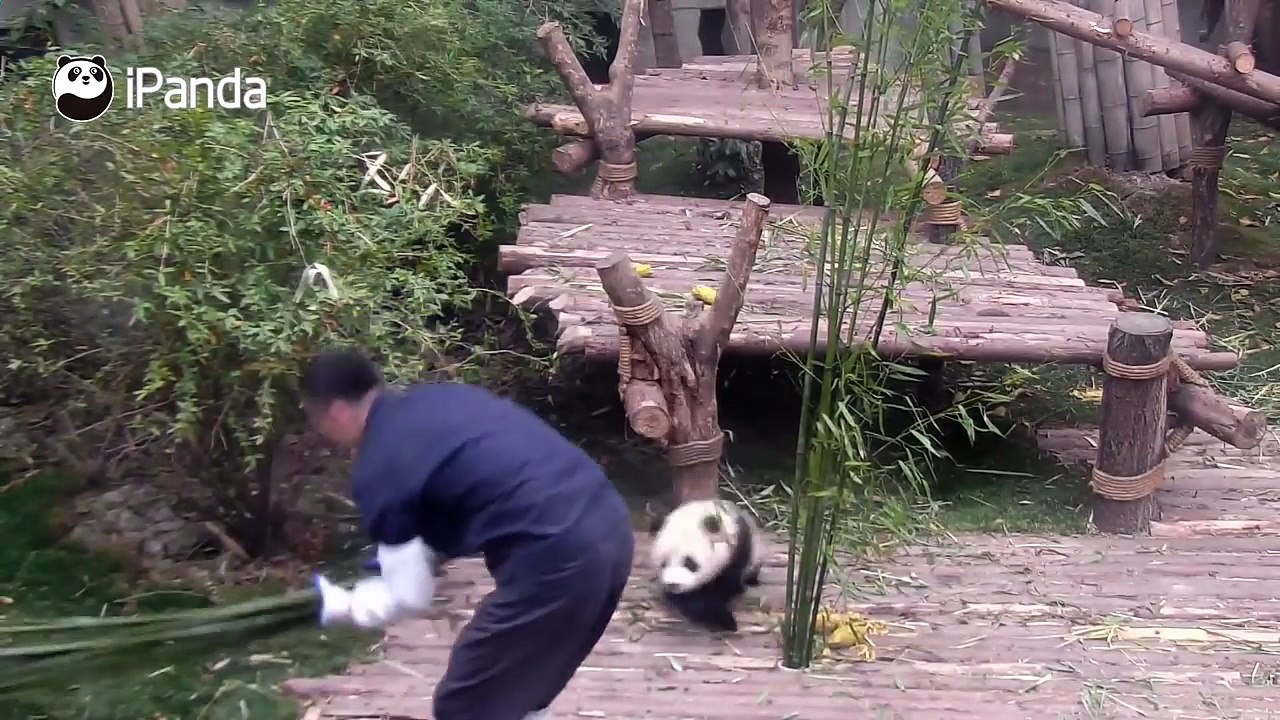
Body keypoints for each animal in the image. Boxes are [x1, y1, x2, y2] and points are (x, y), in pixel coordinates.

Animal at [650, 498, 766, 633]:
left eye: (689, 562)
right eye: (663, 563)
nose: (673, 584)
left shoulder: (739, 548)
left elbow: (725, 585)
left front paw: (724, 619)